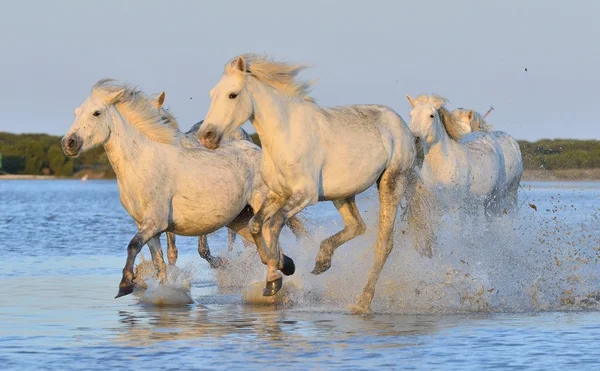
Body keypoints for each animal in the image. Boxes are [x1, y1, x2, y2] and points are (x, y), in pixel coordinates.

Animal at [61, 79, 308, 300]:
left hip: (260, 208)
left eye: (96, 113)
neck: (142, 161)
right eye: (76, 112)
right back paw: (284, 268)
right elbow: (159, 262)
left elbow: (133, 246)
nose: (68, 143)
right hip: (238, 218)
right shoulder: (149, 227)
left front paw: (125, 285)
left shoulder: (154, 222)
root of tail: (257, 149)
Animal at [197, 53, 418, 314]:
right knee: (356, 226)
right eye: (212, 94)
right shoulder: (278, 193)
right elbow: (256, 225)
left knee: (383, 243)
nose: (206, 136)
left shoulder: (304, 195)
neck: (285, 135)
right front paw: (281, 267)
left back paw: (362, 302)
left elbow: (274, 225)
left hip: (392, 182)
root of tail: (401, 124)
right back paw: (322, 261)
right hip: (342, 194)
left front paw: (275, 278)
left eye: (233, 94)